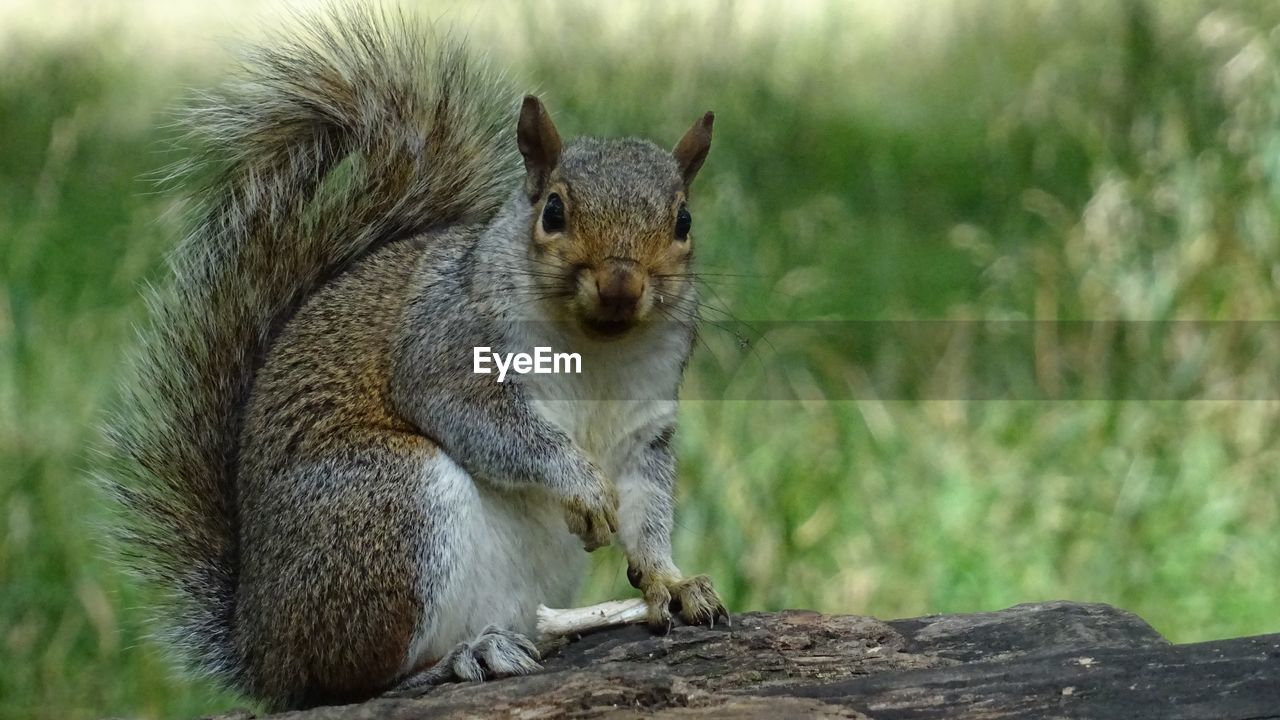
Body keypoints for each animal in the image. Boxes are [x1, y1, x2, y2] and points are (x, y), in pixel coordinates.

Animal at [104, 6, 727, 712]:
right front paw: (583, 487)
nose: (622, 285)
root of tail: (260, 649)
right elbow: (483, 421)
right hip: (390, 505)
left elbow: (648, 507)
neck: (598, 348)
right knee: (352, 682)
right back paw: (460, 660)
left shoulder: (646, 421)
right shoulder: (446, 345)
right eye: (553, 211)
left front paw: (672, 582)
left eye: (683, 223)